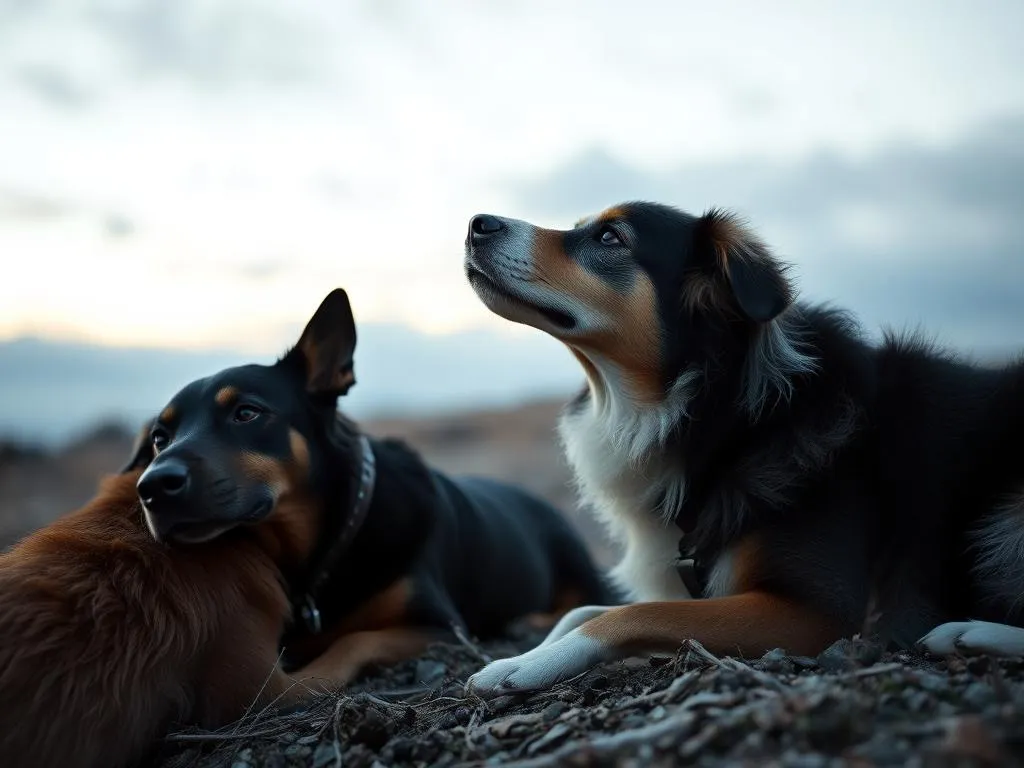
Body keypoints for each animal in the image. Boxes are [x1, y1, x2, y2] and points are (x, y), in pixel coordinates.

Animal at [462, 201, 1024, 696]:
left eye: (609, 238)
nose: (476, 224)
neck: (724, 419)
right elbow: (584, 609)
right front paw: (526, 653)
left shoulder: (825, 612)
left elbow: (636, 611)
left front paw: (524, 665)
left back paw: (969, 632)